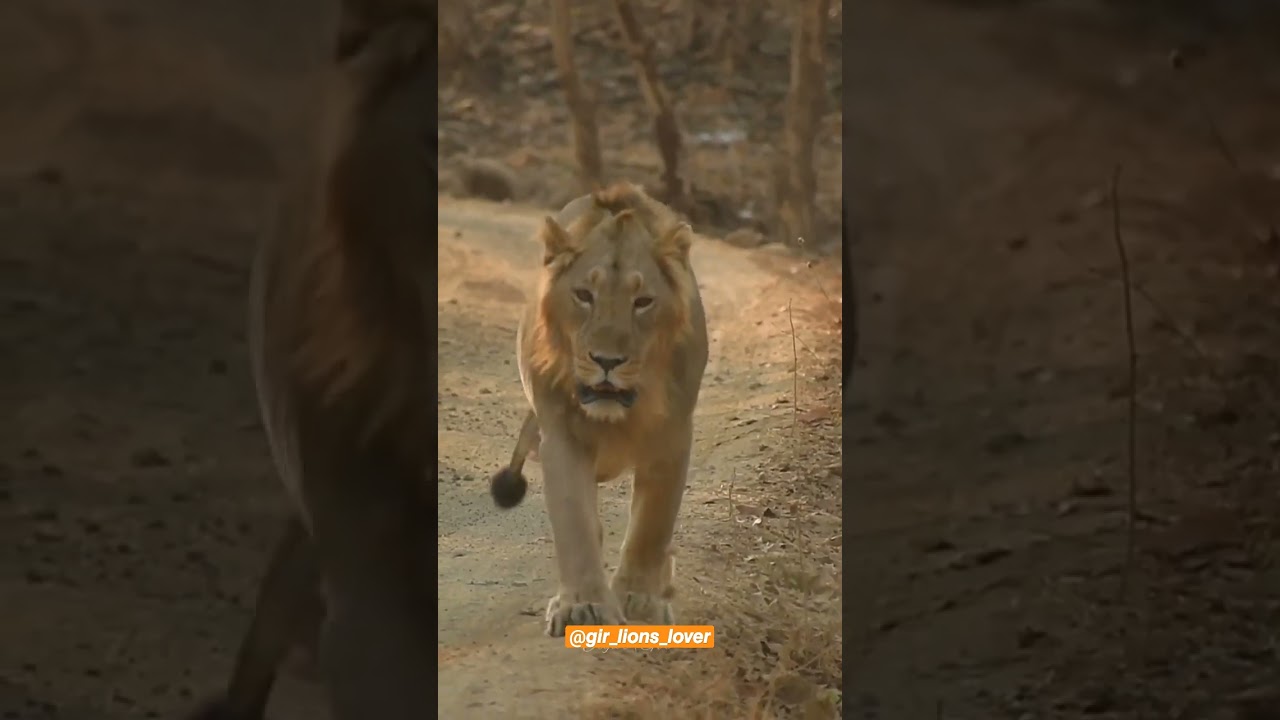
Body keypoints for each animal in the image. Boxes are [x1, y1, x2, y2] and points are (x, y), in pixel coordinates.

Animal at [488, 182, 709, 636]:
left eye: (642, 301)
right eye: (583, 295)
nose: (607, 361)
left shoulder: (673, 437)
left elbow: (652, 526)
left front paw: (640, 600)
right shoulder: (561, 434)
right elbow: (575, 520)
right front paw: (583, 606)